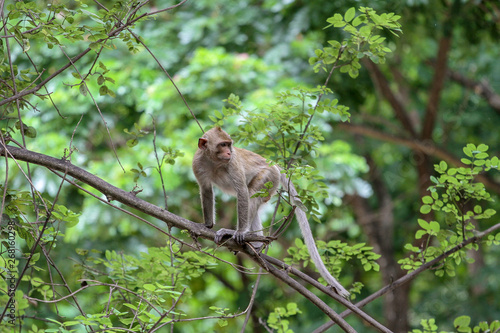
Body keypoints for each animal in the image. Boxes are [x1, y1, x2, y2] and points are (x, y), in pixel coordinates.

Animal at [193, 126, 350, 296]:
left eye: (229, 145)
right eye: (222, 145)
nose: (229, 152)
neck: (214, 162)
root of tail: (273, 164)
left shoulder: (232, 163)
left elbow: (242, 192)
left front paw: (239, 232)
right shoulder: (197, 163)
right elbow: (206, 190)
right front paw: (207, 225)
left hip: (268, 177)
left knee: (251, 193)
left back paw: (243, 235)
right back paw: (256, 243)